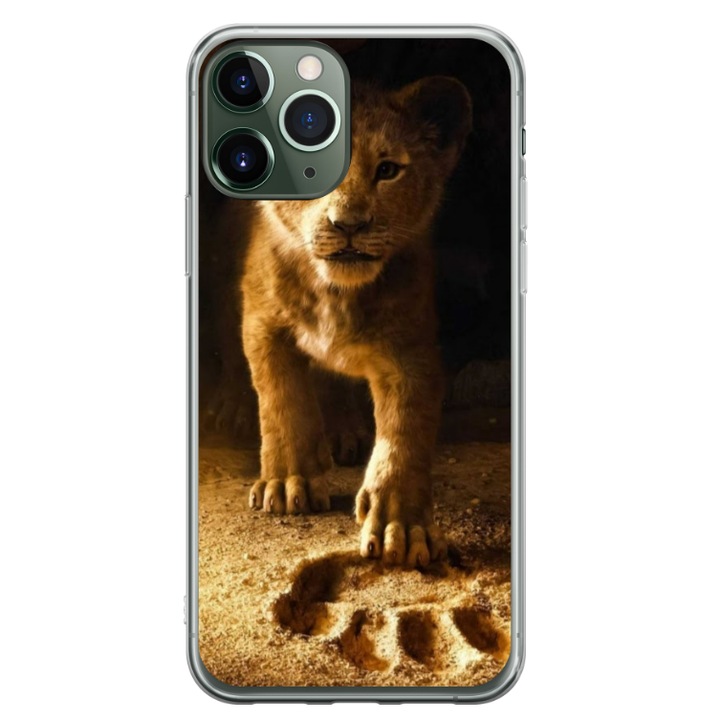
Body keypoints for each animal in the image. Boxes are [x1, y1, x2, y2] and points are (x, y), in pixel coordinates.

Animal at [243, 77, 473, 567]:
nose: (348, 224)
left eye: (387, 170)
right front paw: (287, 483)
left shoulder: (410, 349)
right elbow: (282, 400)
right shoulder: (262, 323)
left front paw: (401, 526)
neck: (336, 292)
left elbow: (405, 431)